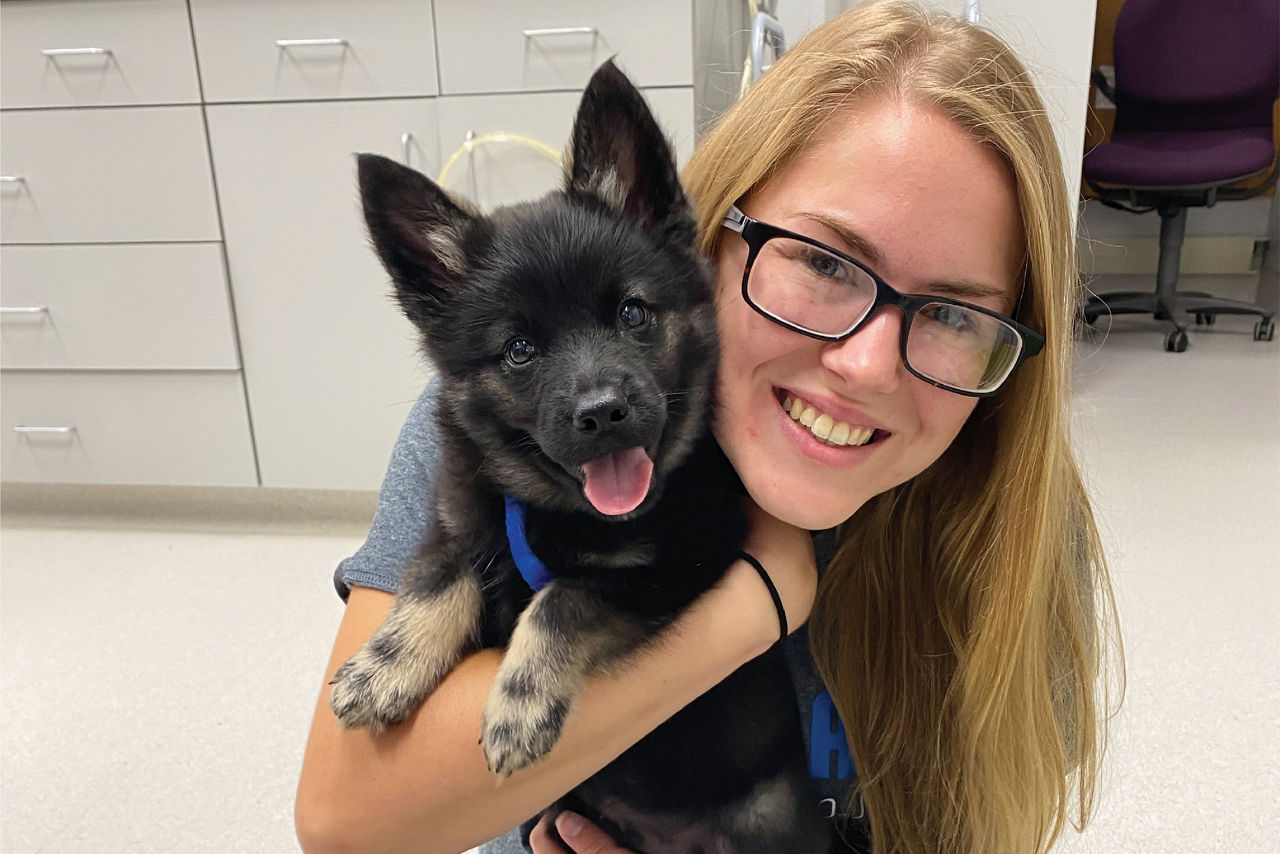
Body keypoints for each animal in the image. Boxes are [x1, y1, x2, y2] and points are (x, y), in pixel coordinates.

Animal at [325, 61, 834, 854]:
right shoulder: (456, 521)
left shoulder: (680, 563)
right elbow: (439, 575)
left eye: (632, 313)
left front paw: (519, 702)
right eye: (519, 350)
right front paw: (387, 665)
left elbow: (566, 596)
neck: (548, 505)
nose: (601, 413)